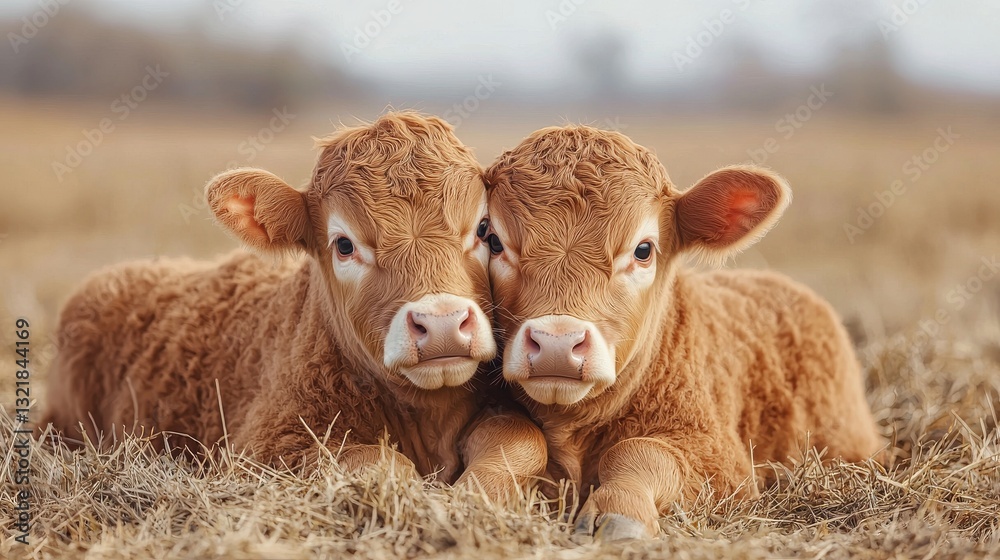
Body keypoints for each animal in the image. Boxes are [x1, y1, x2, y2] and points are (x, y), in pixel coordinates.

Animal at [40, 112, 546, 497]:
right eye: (343, 245)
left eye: (483, 230)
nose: (441, 323)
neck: (427, 420)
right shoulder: (260, 450)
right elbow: (377, 461)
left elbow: (522, 440)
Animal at [481, 125, 884, 540]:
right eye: (493, 240)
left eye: (643, 250)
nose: (557, 344)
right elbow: (512, 435)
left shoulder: (722, 461)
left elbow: (641, 451)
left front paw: (620, 509)